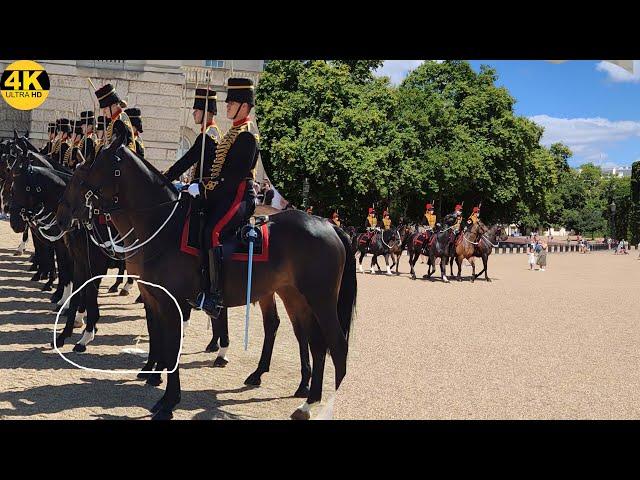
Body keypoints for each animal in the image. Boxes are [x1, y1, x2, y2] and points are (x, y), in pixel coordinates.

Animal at [57, 128, 358, 420]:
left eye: (85, 173)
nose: (62, 217)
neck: (161, 226)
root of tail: (329, 225)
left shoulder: (171, 302)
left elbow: (171, 347)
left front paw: (167, 401)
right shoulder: (153, 297)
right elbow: (160, 340)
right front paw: (157, 382)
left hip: (320, 299)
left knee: (337, 345)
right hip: (294, 296)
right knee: (312, 341)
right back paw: (301, 395)